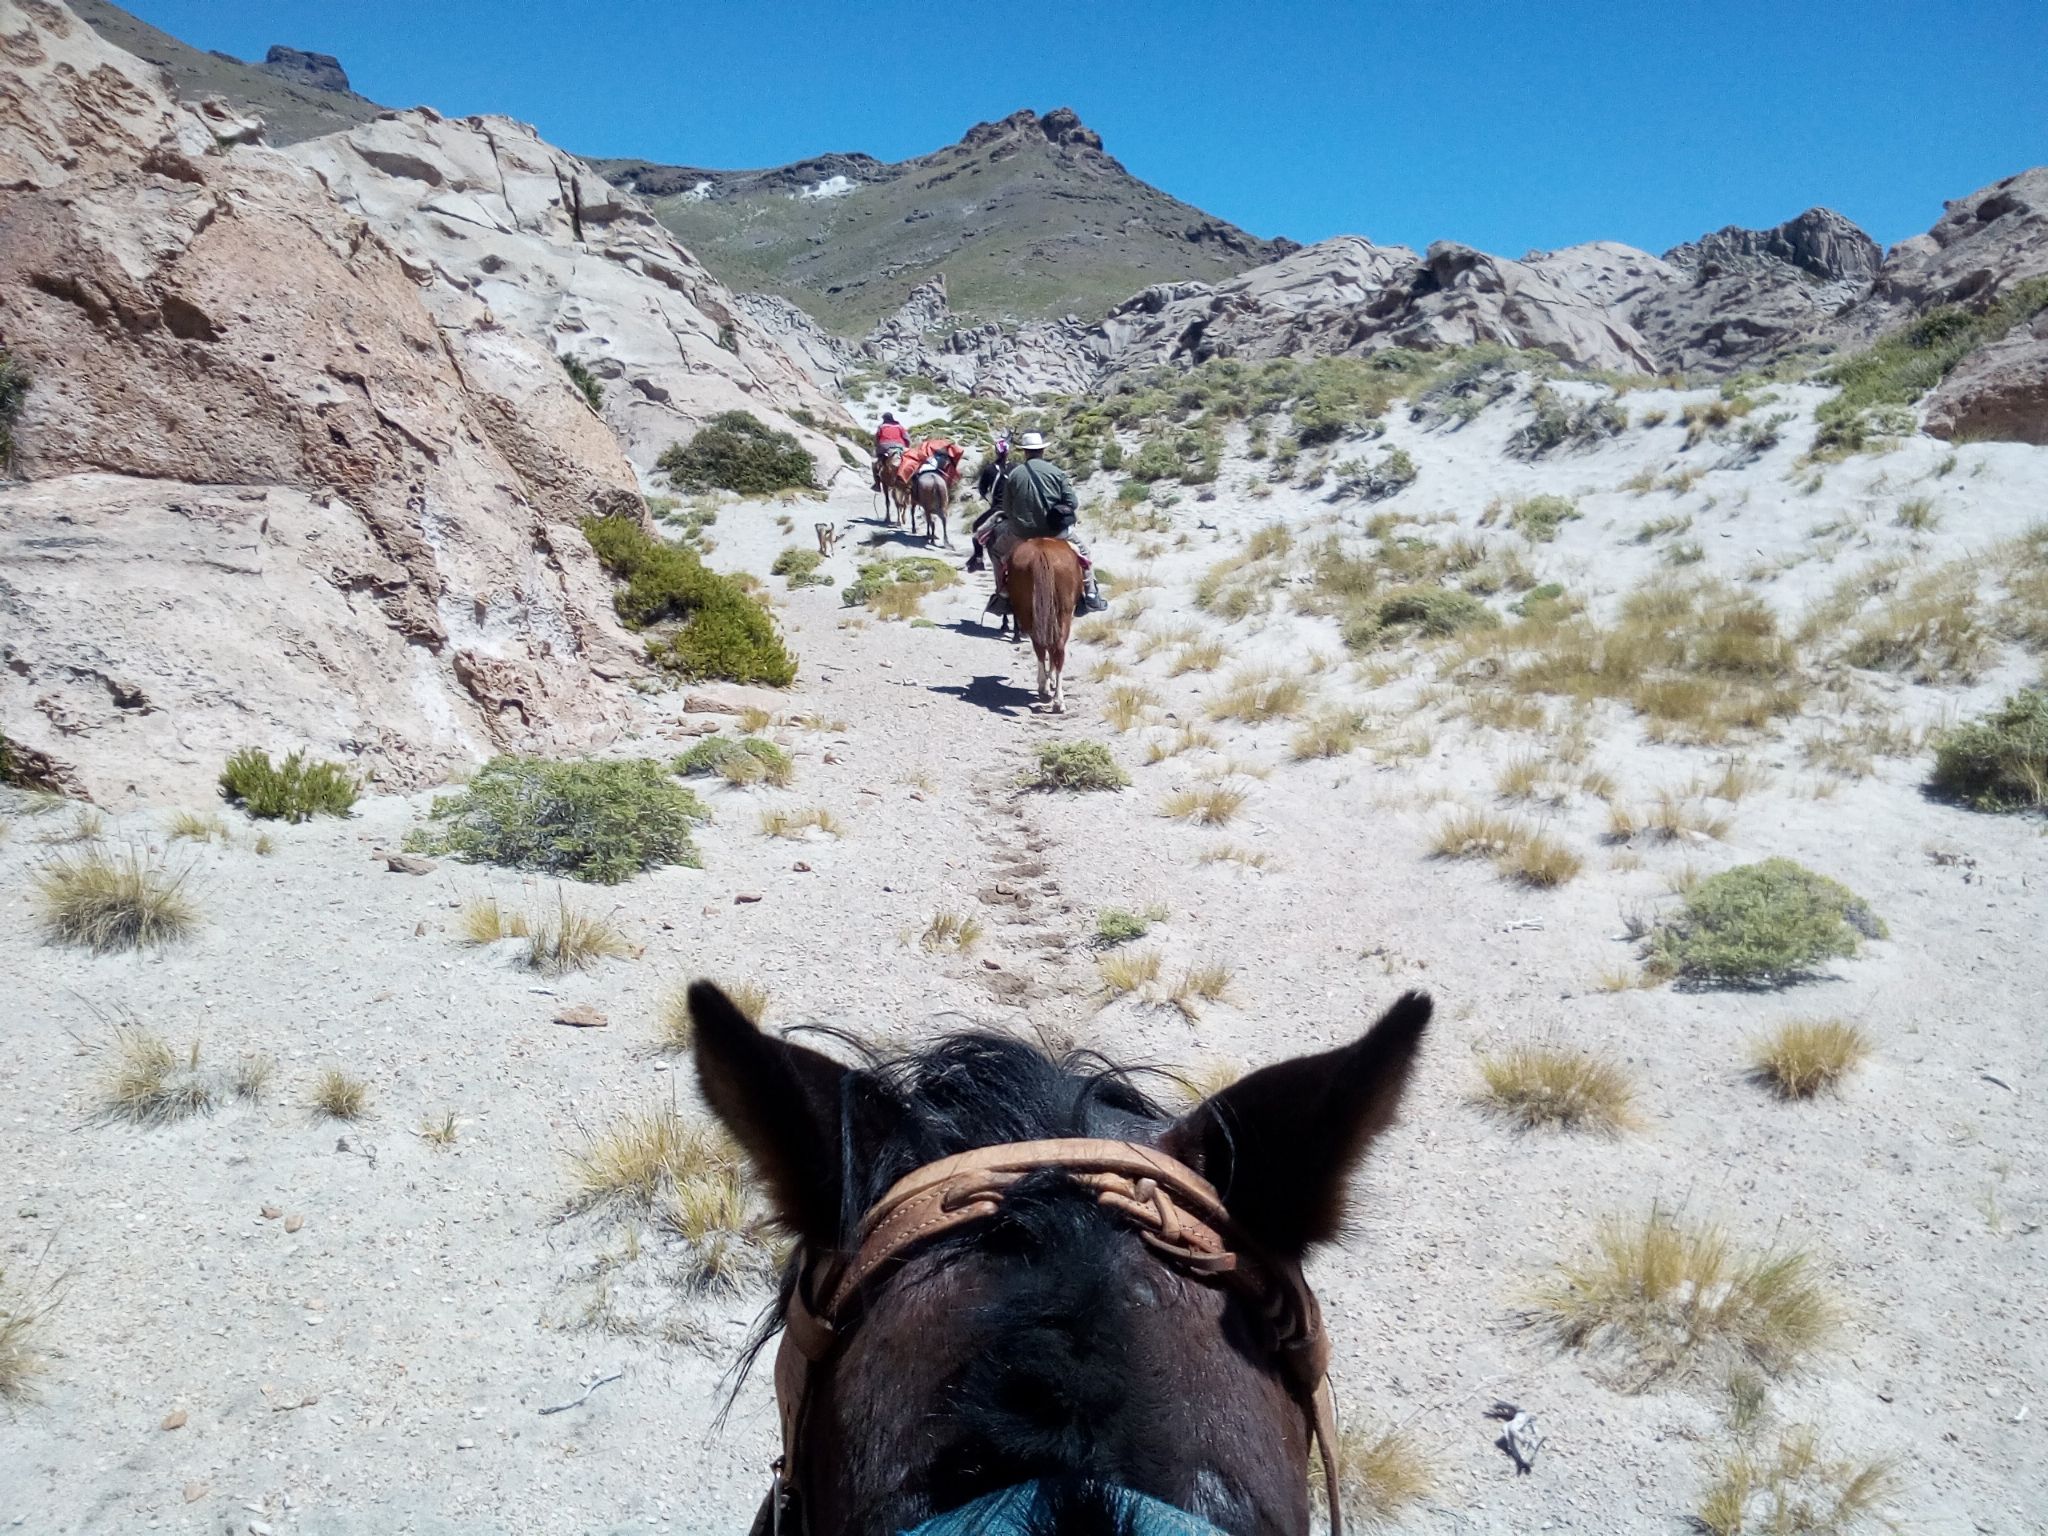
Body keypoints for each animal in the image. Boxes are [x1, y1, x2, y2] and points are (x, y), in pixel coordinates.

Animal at [1006, 537, 1082, 711]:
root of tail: (1041, 553)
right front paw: (1050, 680)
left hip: (1030, 613)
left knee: (1043, 647)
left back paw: (1049, 690)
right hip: (1063, 613)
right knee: (1055, 649)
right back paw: (1055, 697)